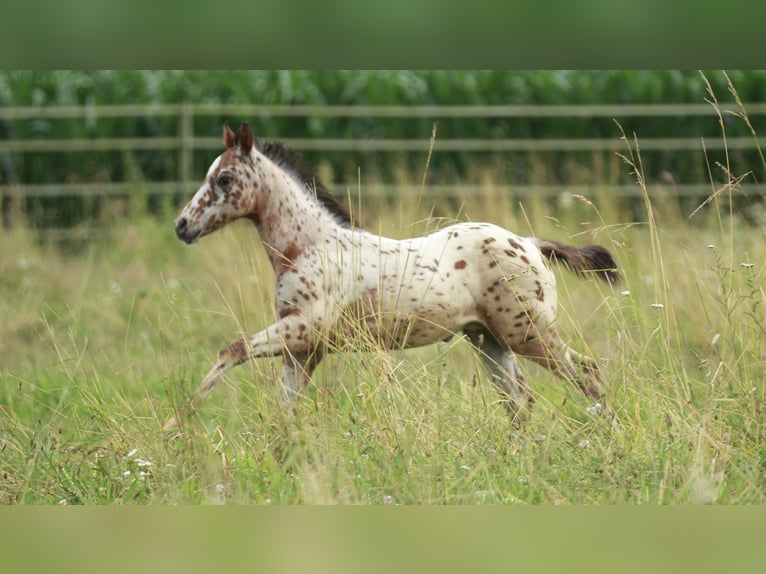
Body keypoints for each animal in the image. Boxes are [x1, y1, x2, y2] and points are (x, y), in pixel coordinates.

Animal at [165, 121, 620, 430]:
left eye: (224, 178)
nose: (182, 226)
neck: (309, 245)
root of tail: (529, 243)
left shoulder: (304, 328)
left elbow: (231, 351)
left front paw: (175, 425)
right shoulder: (305, 350)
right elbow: (284, 409)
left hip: (528, 334)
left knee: (588, 374)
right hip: (490, 341)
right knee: (521, 401)